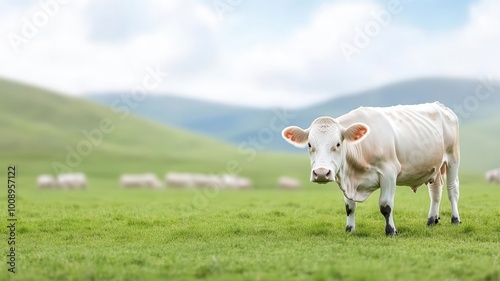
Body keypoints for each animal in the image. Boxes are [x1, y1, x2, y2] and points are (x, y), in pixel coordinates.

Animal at [282, 101, 460, 235]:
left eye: (338, 144)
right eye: (309, 144)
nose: (320, 173)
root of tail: (440, 106)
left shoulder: (389, 173)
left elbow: (386, 206)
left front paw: (391, 231)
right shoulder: (345, 178)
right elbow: (349, 207)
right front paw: (350, 229)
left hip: (453, 159)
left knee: (452, 191)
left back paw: (455, 219)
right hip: (435, 167)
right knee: (435, 192)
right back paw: (431, 220)